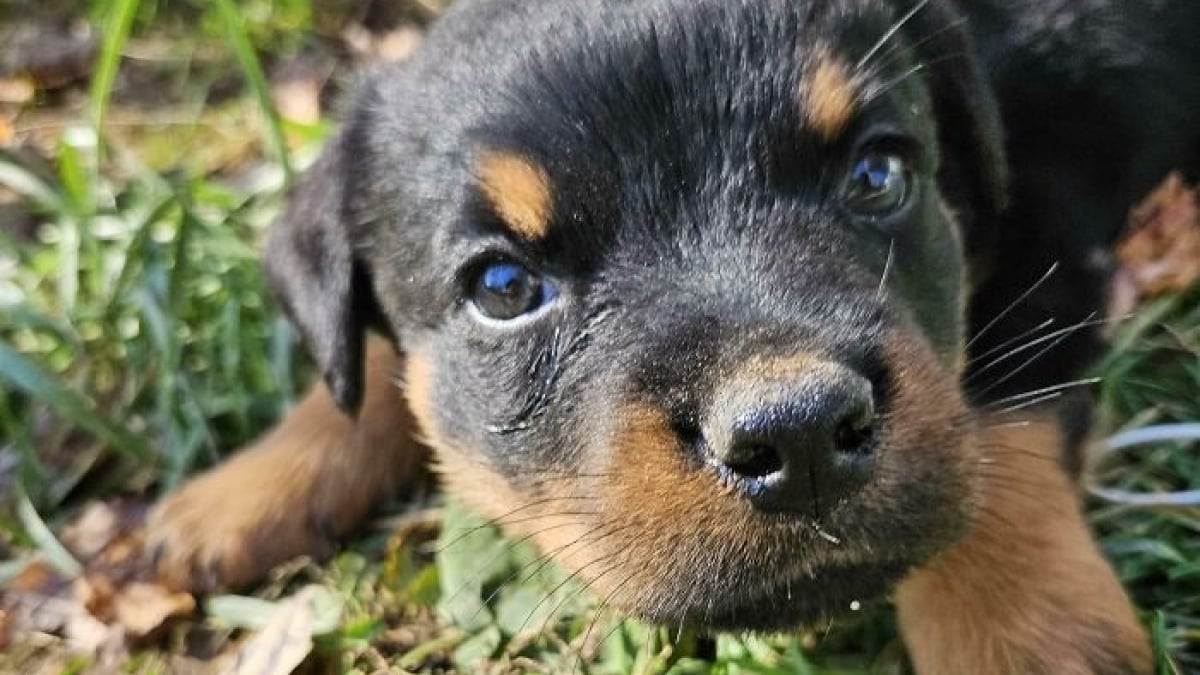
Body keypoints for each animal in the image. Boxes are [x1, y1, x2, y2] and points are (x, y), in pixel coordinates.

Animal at [147, 0, 1200, 667]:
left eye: (877, 174)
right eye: (502, 286)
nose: (798, 435)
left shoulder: (1047, 228)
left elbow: (999, 412)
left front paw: (1024, 632)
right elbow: (370, 358)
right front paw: (242, 489)